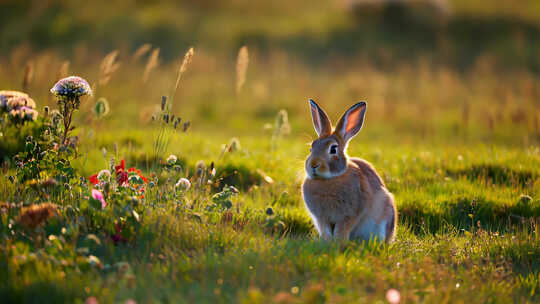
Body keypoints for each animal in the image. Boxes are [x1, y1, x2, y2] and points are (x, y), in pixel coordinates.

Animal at [300, 99, 396, 242]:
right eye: (311, 148)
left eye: (333, 149)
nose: (313, 165)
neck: (328, 179)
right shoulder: (321, 218)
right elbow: (326, 230)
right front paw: (327, 241)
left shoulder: (350, 215)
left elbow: (342, 229)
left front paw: (339, 241)